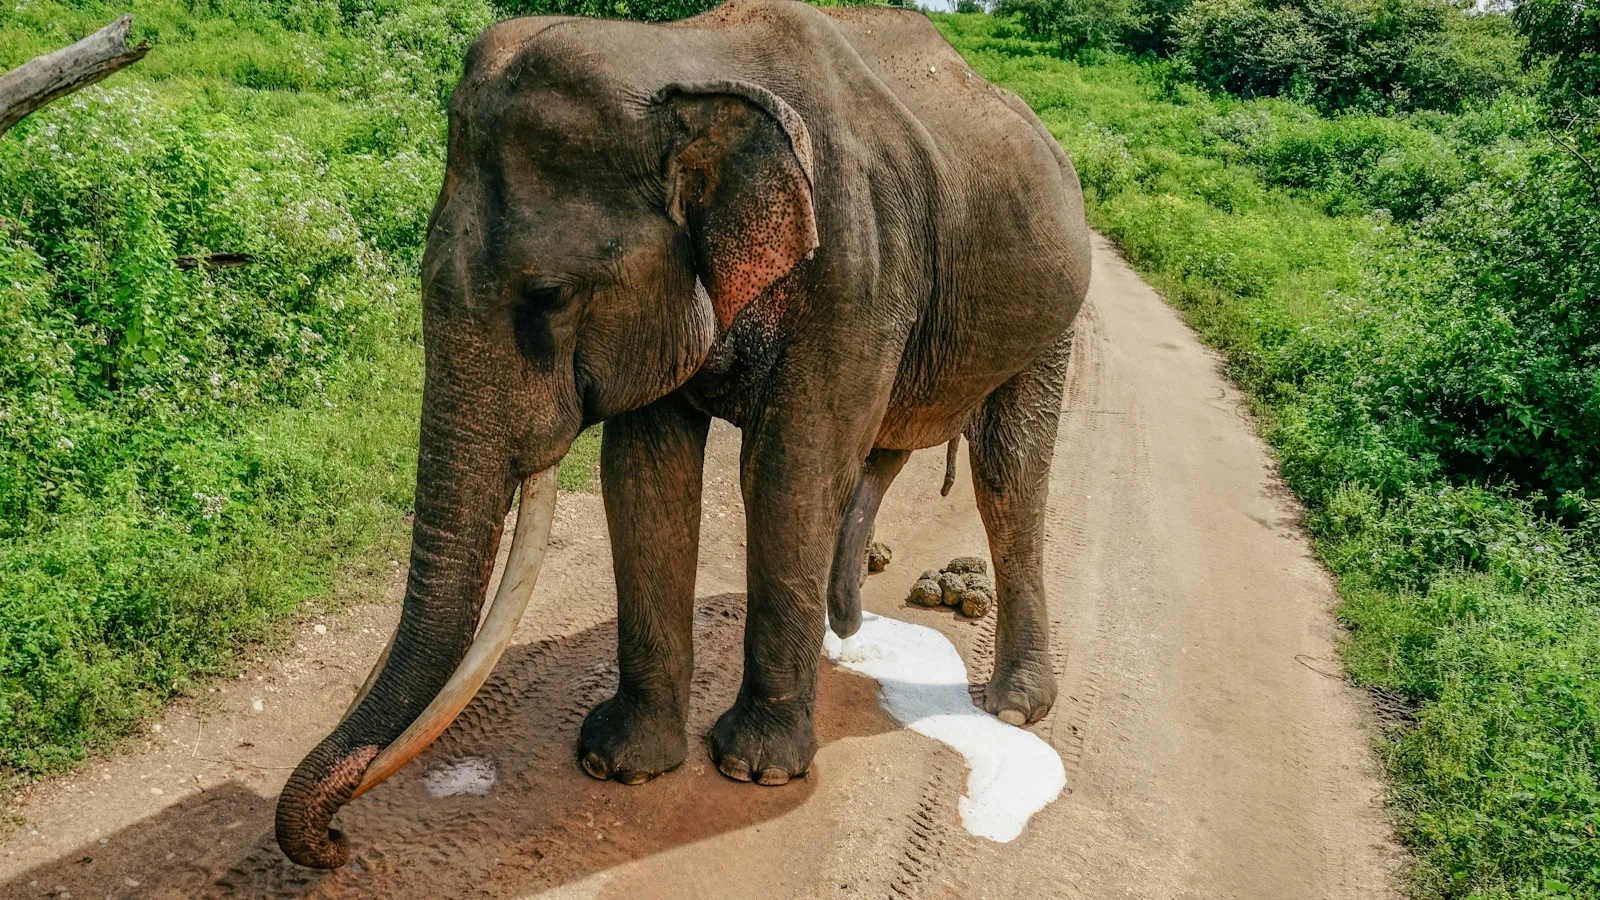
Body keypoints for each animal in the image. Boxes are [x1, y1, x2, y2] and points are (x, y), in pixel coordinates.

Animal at [275, 0, 1090, 869]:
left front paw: (755, 770)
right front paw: (620, 764)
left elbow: (789, 474)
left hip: (1052, 312)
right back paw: (844, 634)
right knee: (888, 460)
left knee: (1008, 473)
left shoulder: (856, 269)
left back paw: (1013, 708)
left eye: (549, 295)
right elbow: (645, 472)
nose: (336, 842)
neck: (687, 57)